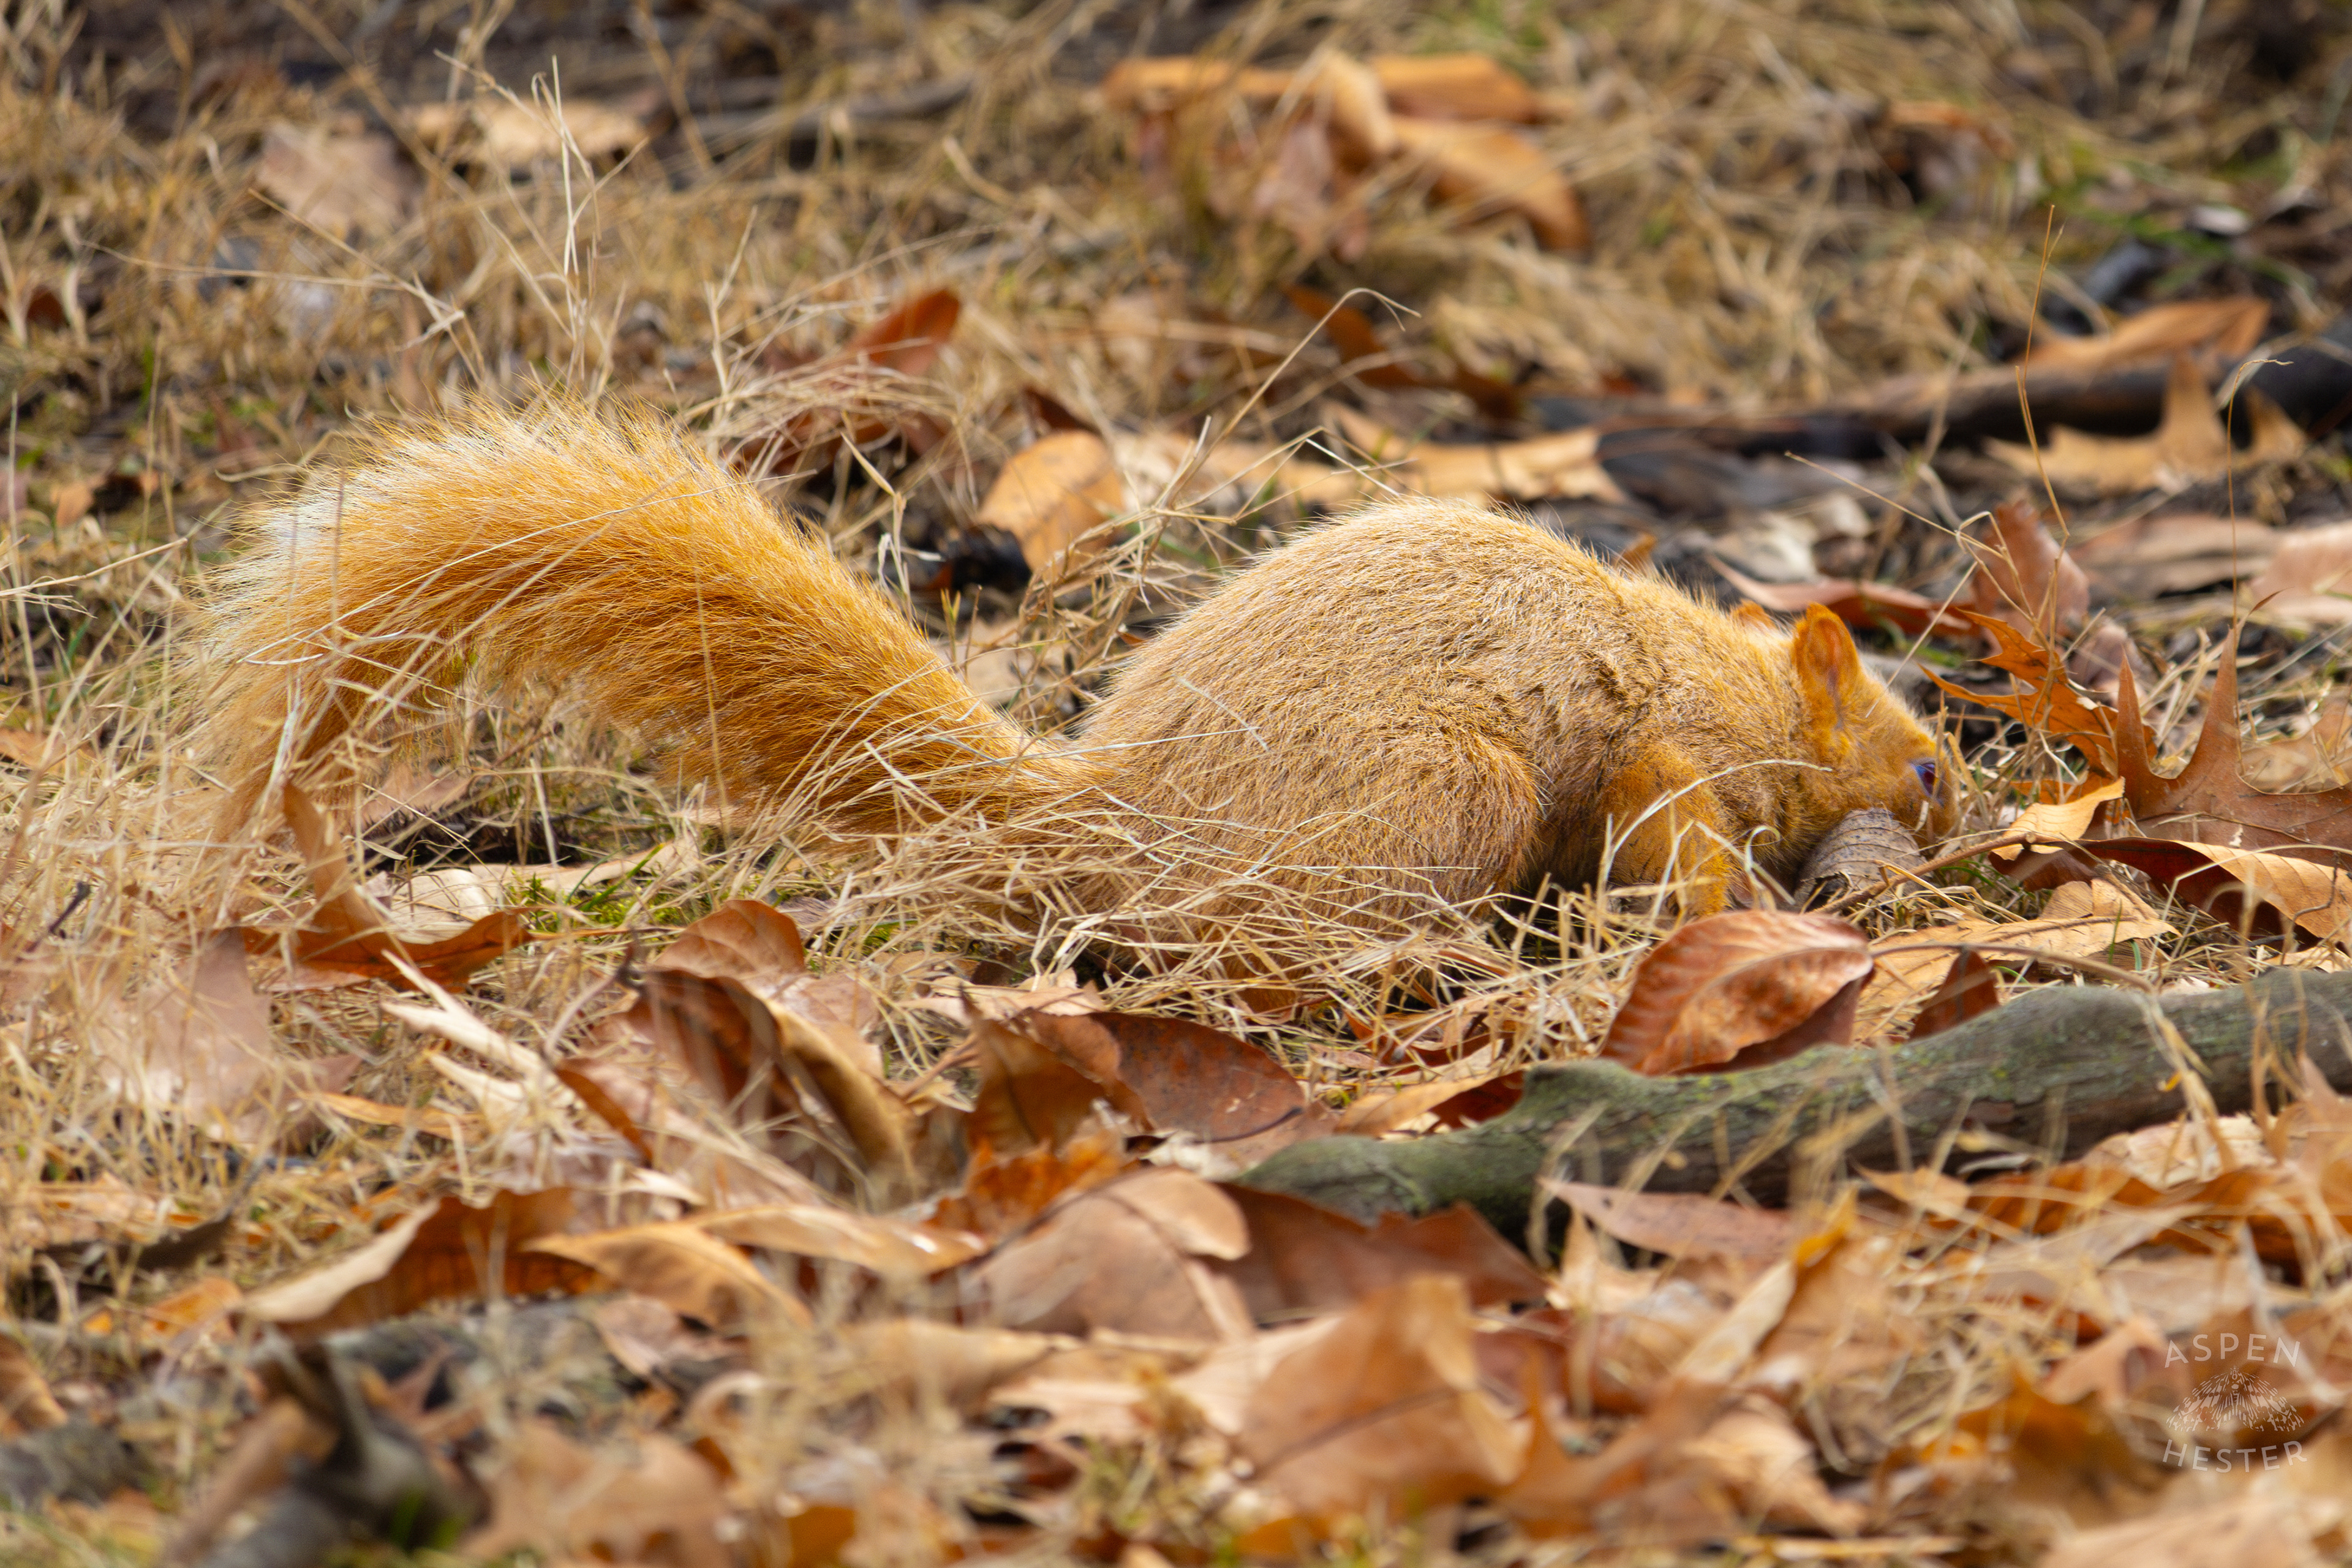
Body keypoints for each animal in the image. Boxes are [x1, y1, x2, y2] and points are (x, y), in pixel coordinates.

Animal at [195, 403, 1958, 950]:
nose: (1966, 817)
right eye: (1929, 762)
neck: (1738, 678)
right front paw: (1751, 913)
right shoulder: (1669, 751)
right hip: (1448, 793)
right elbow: (1682, 834)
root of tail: (1112, 820)